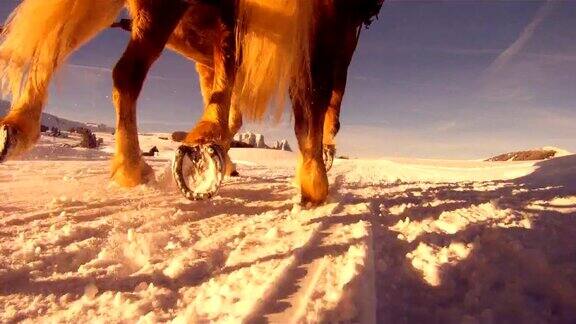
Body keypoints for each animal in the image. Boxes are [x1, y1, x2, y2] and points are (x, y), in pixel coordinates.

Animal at [1, 0, 382, 204]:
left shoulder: (209, 52)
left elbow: (228, 106)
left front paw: (216, 152)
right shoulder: (331, 33)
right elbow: (319, 100)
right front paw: (315, 180)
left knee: (59, 42)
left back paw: (17, 127)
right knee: (126, 74)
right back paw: (135, 165)